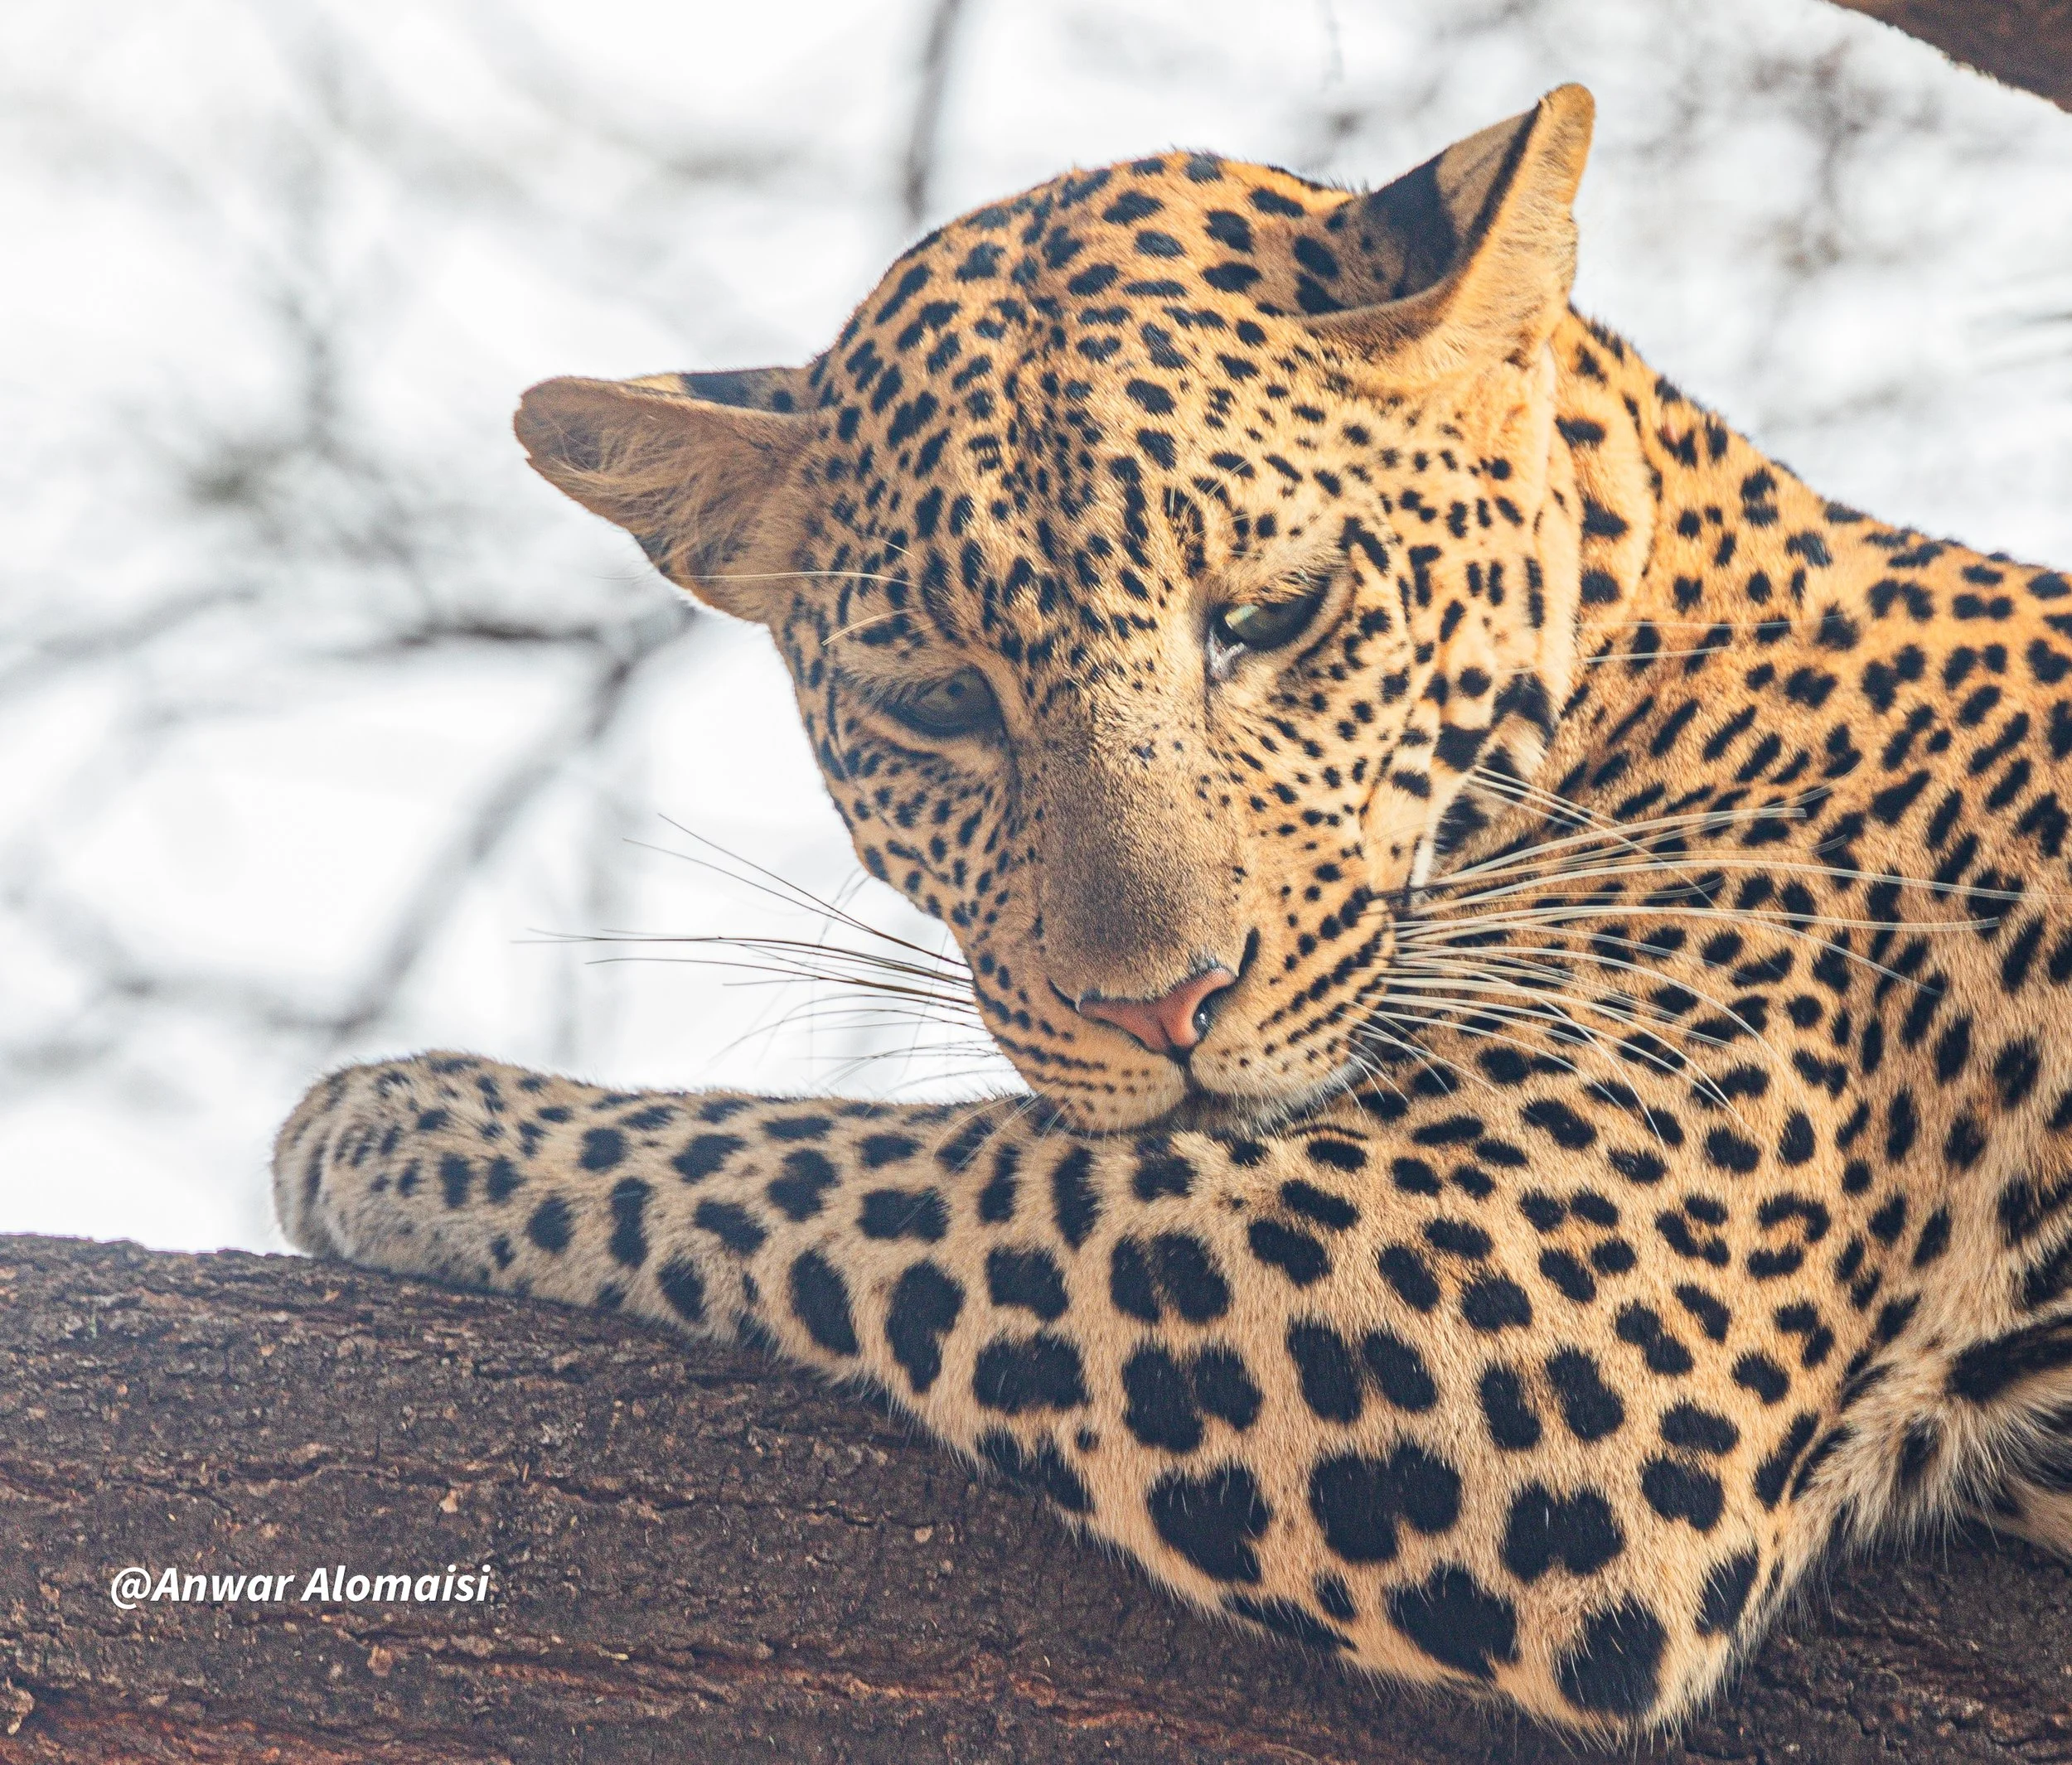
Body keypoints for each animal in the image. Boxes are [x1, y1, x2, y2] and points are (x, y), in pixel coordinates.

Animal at [273, 85, 2072, 1734]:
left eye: (1274, 614)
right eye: (939, 702)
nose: (1162, 1006)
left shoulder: (1560, 1308)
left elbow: (903, 1163)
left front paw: (404, 1125)